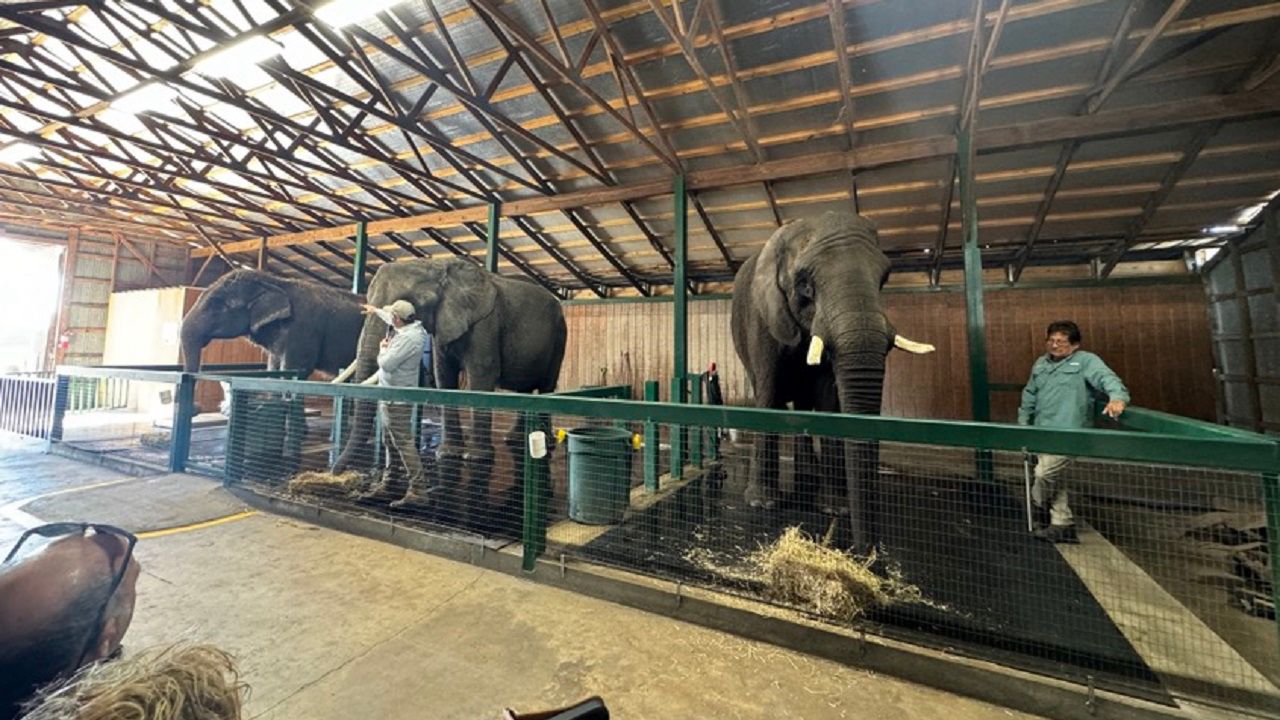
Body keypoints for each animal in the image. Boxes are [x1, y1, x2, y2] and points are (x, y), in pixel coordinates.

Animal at [331, 258, 567, 521]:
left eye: (411, 301)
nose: (337, 476)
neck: (439, 266)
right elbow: (443, 375)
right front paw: (447, 453)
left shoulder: (486, 322)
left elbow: (481, 374)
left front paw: (475, 457)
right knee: (524, 391)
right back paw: (514, 439)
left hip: (559, 335)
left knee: (546, 386)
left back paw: (542, 441)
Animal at [730, 211, 934, 549]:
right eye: (805, 286)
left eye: (884, 279)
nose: (865, 553)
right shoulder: (761, 318)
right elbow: (769, 394)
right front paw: (761, 503)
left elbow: (827, 397)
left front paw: (834, 508)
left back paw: (810, 477)